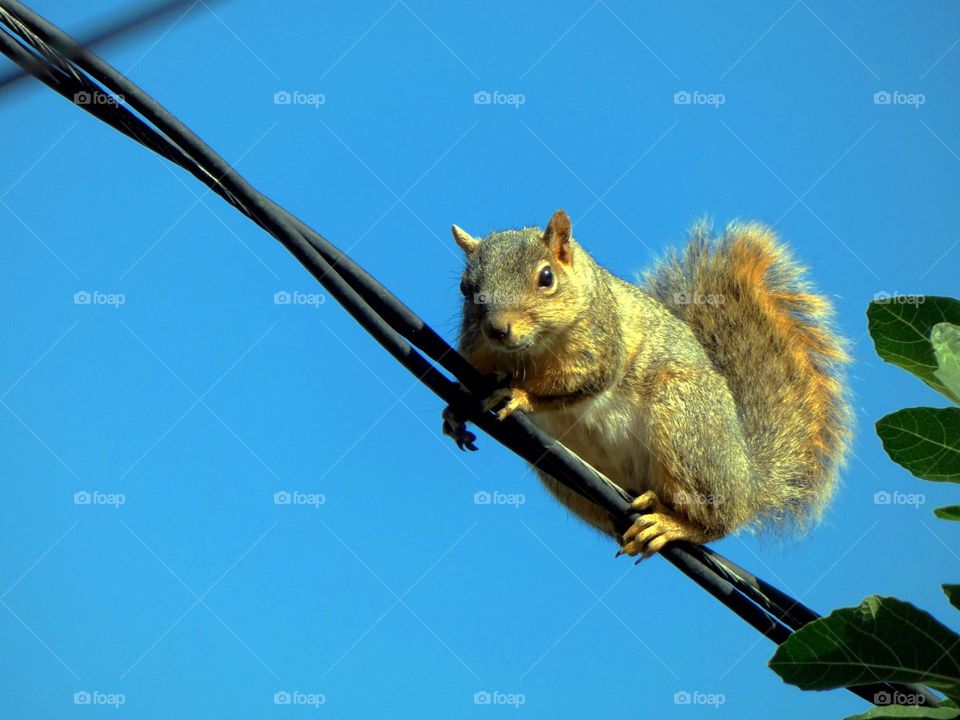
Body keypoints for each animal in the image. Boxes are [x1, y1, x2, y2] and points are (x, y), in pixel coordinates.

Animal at [443, 209, 852, 558]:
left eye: (546, 278)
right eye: (464, 287)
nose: (498, 329)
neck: (527, 354)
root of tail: (748, 481)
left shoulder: (601, 342)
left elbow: (582, 382)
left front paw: (519, 395)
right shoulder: (478, 349)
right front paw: (454, 412)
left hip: (684, 420)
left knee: (719, 522)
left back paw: (674, 526)